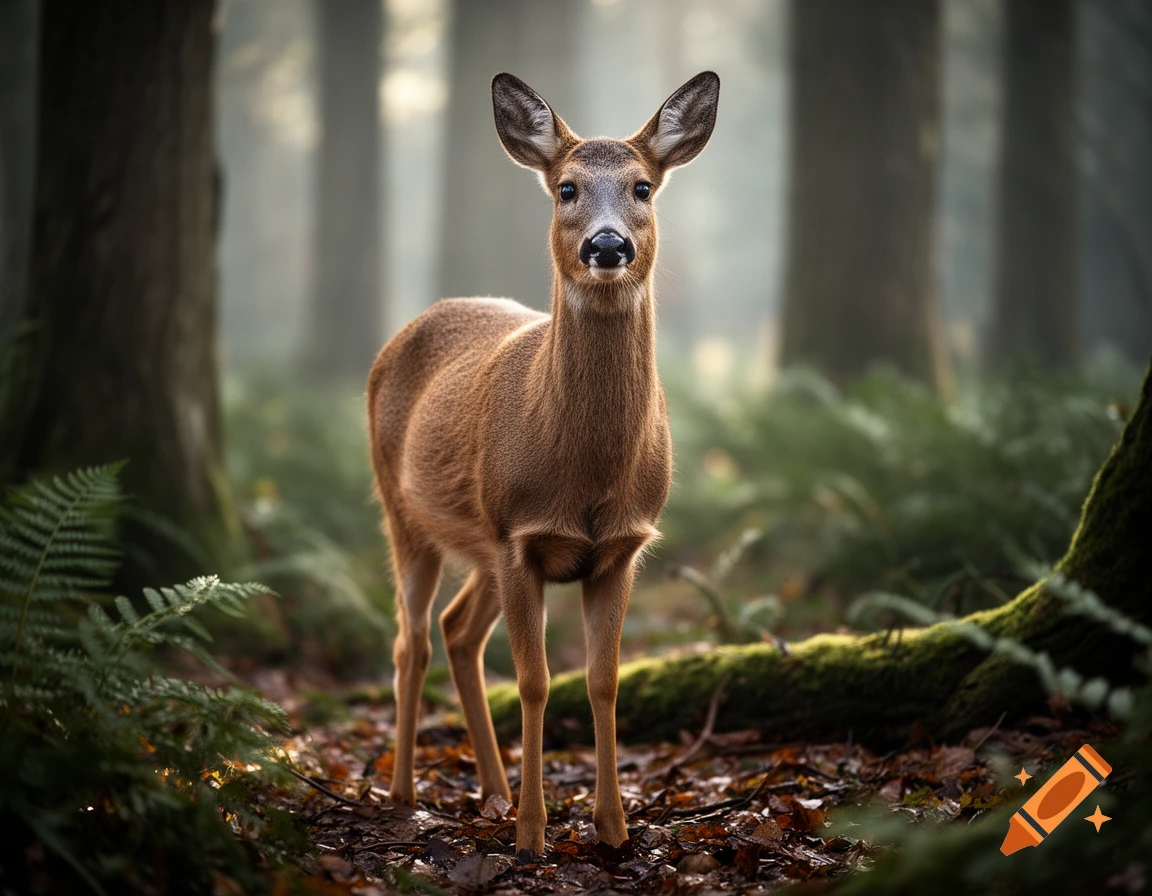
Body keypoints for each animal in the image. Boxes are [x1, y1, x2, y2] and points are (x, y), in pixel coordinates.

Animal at [367, 70, 719, 857]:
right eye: (565, 188)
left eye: (643, 186)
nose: (608, 244)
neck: (588, 474)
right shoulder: (519, 536)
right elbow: (534, 681)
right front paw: (533, 834)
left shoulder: (618, 547)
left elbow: (603, 680)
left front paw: (613, 827)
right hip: (407, 513)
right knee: (411, 640)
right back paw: (404, 794)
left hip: (481, 543)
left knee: (457, 631)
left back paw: (493, 792)